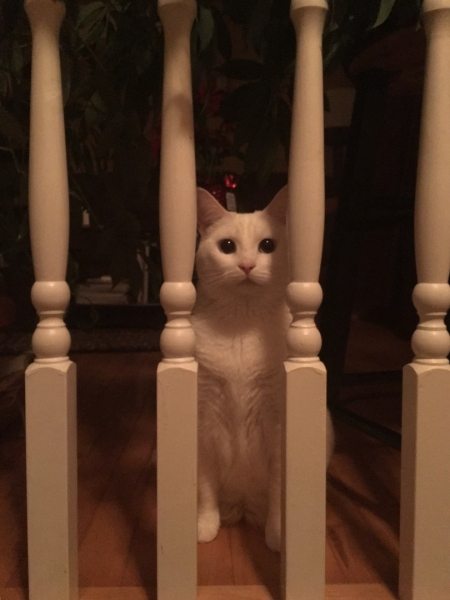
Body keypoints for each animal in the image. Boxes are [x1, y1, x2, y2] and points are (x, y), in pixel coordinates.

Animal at [192, 188, 332, 552]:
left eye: (267, 245)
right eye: (227, 246)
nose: (247, 265)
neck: (243, 324)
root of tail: (243, 507)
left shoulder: (279, 427)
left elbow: (279, 495)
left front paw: (278, 536)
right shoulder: (204, 423)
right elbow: (205, 489)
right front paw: (205, 526)